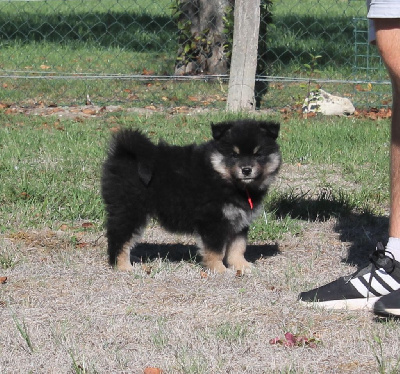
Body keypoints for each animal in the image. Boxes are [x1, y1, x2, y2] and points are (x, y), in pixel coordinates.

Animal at [101, 119, 282, 272]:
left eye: (258, 154)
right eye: (234, 154)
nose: (246, 170)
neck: (223, 178)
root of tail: (122, 153)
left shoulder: (239, 220)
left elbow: (238, 246)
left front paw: (241, 265)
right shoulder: (212, 220)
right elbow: (215, 249)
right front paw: (218, 269)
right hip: (130, 208)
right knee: (119, 237)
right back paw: (123, 266)